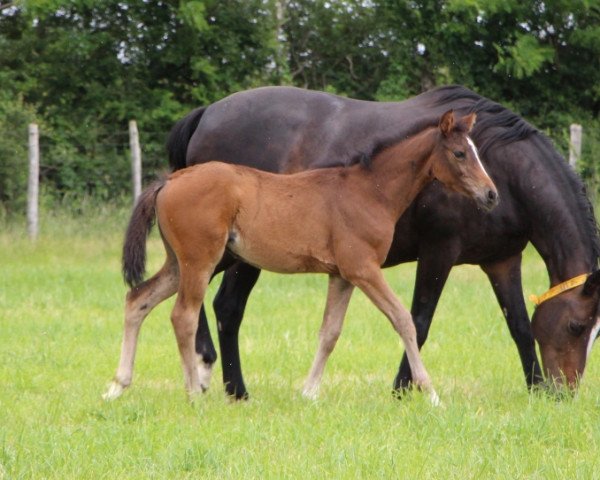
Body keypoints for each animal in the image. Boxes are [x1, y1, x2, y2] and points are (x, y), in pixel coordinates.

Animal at [102, 110, 496, 404]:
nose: (491, 195)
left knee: (137, 299)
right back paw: (194, 392)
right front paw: (431, 393)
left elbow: (330, 332)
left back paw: (118, 385)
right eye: (460, 153)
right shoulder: (364, 269)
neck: (370, 191)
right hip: (199, 261)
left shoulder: (342, 275)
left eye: (475, 151)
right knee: (182, 315)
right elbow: (404, 320)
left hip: (178, 263)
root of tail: (169, 181)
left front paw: (309, 392)